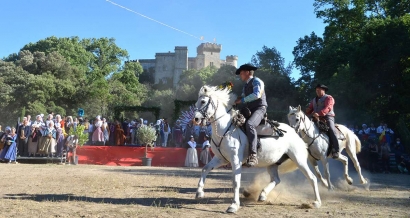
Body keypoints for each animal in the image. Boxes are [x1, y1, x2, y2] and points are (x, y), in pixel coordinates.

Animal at [194, 86, 322, 214]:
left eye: (203, 102)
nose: (195, 119)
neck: (226, 129)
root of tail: (294, 132)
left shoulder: (235, 161)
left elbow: (236, 182)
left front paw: (233, 206)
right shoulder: (221, 159)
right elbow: (205, 169)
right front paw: (199, 192)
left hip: (299, 160)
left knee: (312, 177)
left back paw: (317, 202)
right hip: (272, 163)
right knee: (276, 179)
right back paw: (262, 195)